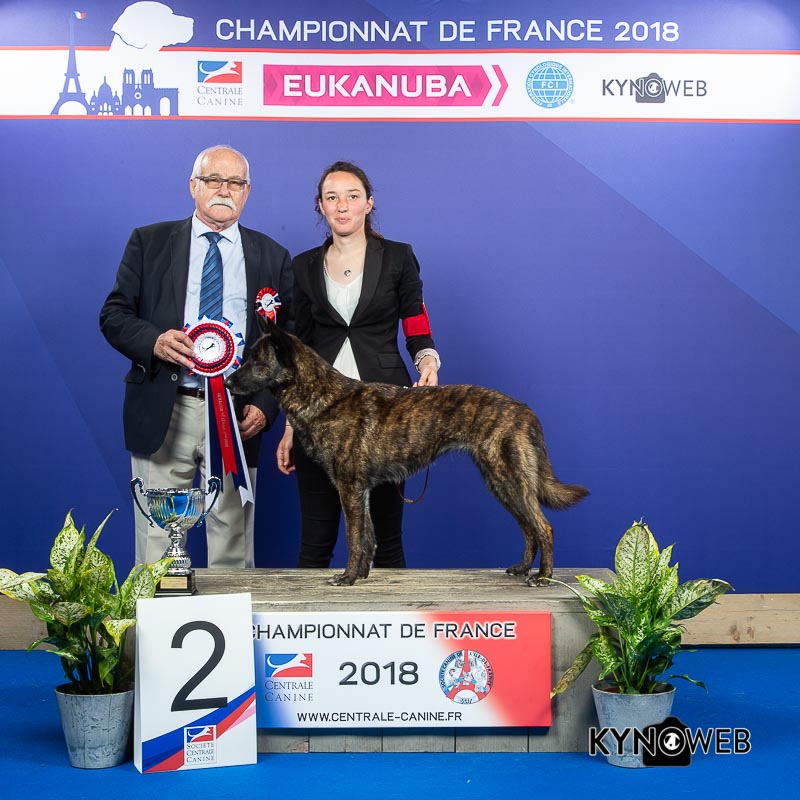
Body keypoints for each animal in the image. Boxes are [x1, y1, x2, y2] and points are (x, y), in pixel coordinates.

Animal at [226, 320, 588, 587]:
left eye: (257, 362)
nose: (227, 383)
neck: (322, 397)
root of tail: (525, 410)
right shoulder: (361, 490)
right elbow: (368, 536)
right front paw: (361, 575)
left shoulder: (349, 488)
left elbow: (354, 537)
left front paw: (347, 578)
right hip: (500, 483)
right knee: (528, 528)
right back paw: (523, 568)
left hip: (508, 479)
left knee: (543, 527)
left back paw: (543, 577)